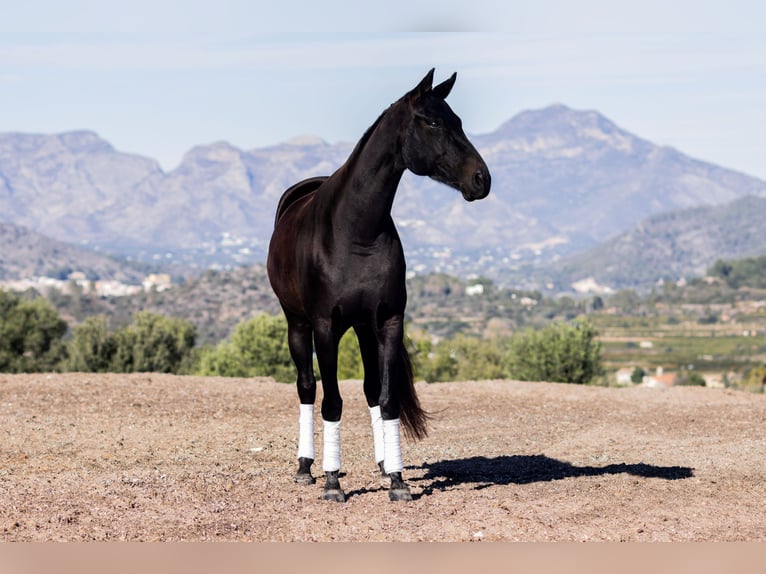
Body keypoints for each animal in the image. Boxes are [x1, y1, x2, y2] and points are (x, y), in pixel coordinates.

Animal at [268, 70, 492, 504]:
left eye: (457, 121)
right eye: (434, 122)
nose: (482, 179)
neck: (355, 230)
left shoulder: (388, 321)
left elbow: (387, 399)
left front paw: (398, 480)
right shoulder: (326, 327)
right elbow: (332, 401)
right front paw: (333, 482)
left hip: (363, 328)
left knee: (372, 389)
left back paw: (384, 463)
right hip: (298, 325)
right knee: (307, 388)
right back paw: (306, 467)